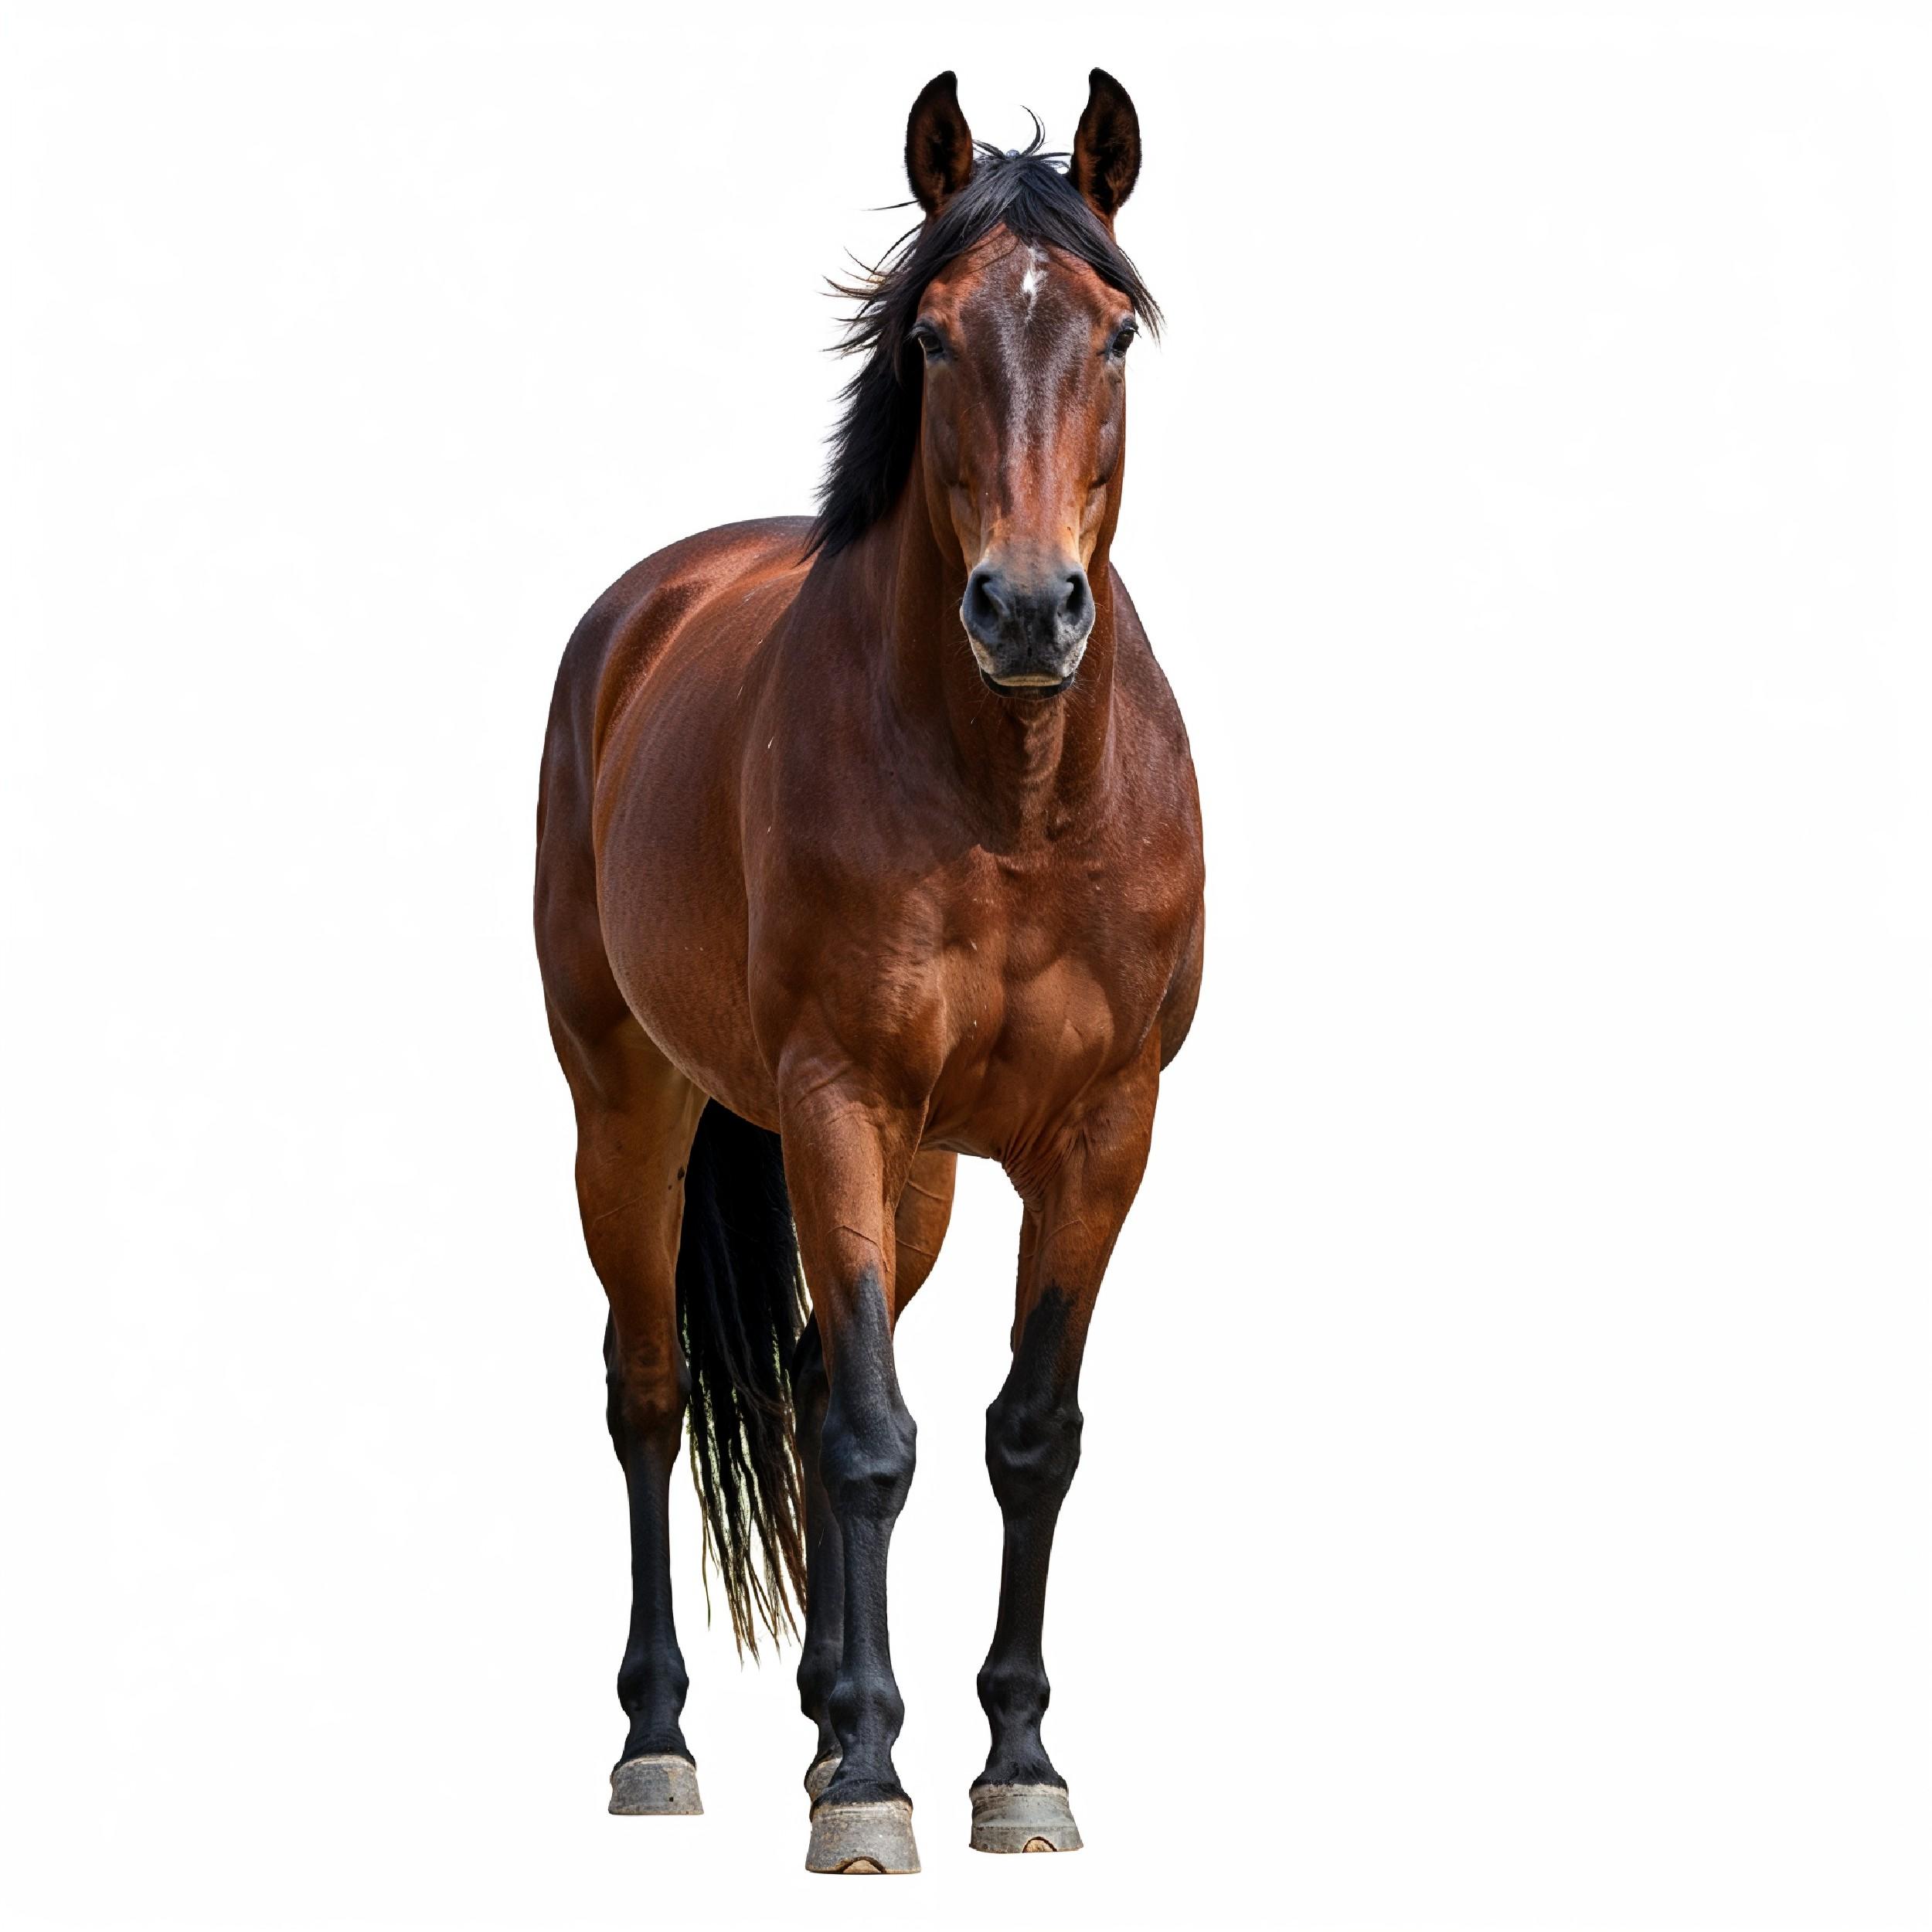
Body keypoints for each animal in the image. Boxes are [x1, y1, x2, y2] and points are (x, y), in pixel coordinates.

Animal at [534, 67, 1204, 1874]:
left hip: (914, 1177)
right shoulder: (837, 1097)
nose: (1028, 611)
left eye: (1117, 332)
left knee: (827, 1370)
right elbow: (863, 1441)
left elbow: (1020, 1435)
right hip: (633, 1112)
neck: (1013, 799)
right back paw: (664, 1740)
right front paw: (870, 1790)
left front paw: (1010, 1764)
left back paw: (836, 1710)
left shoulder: (1100, 1135)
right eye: (933, 336)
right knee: (652, 1395)